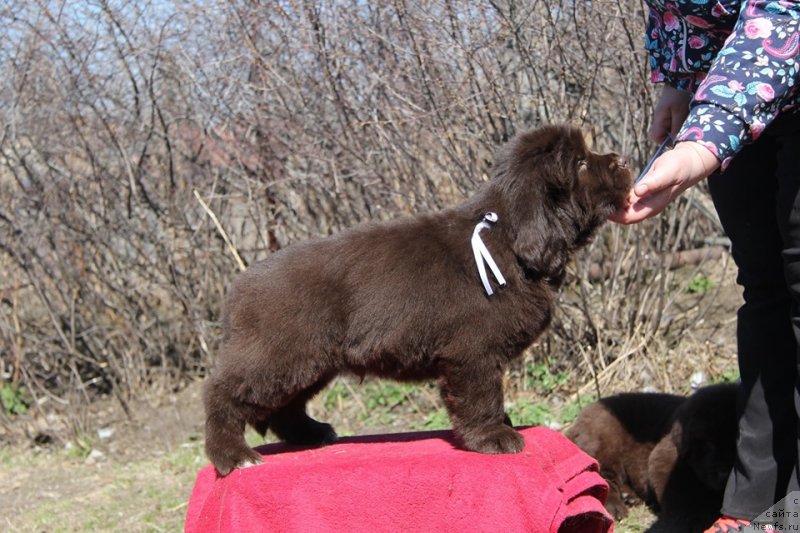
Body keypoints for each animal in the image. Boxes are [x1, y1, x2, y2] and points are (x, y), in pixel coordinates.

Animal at [203, 124, 636, 474]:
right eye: (581, 163)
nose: (623, 159)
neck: (507, 239)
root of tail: (237, 288)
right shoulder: (473, 352)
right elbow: (481, 395)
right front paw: (494, 437)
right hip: (278, 354)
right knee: (221, 392)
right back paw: (233, 457)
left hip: (311, 361)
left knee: (284, 406)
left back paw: (311, 433)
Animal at [564, 384, 736, 528]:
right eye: (709, 444)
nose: (725, 473)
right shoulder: (665, 458)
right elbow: (683, 500)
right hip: (606, 443)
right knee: (600, 477)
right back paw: (615, 507)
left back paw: (629, 496)